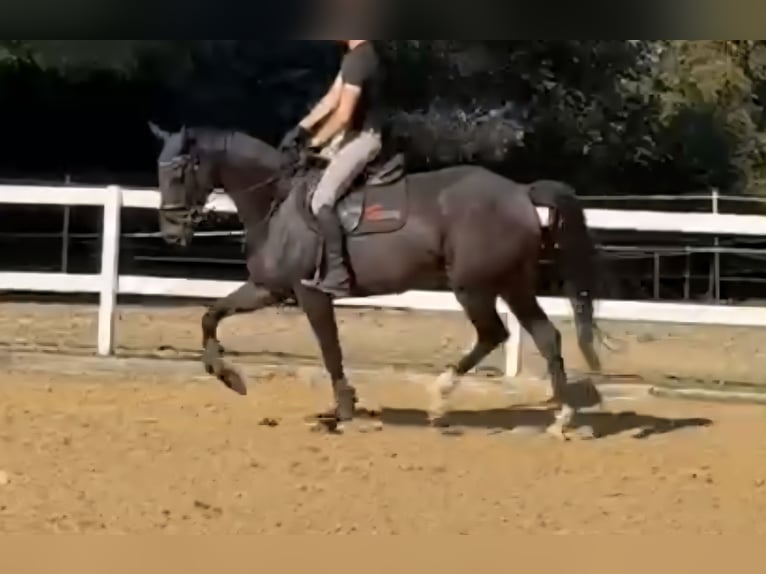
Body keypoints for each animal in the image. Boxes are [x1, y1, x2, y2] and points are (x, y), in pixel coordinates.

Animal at [149, 123, 603, 439]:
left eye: (180, 171)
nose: (171, 233)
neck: (277, 204)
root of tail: (520, 192)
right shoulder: (269, 288)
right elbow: (211, 314)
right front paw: (227, 375)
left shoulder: (311, 294)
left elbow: (330, 350)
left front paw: (344, 411)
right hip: (511, 283)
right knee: (544, 336)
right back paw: (560, 418)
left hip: (474, 287)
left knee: (495, 333)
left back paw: (440, 398)